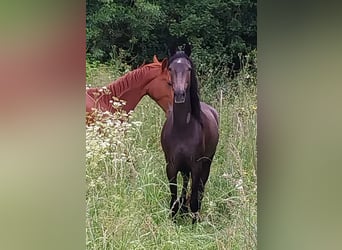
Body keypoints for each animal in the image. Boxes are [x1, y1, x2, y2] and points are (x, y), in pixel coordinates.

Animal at [161, 46, 219, 224]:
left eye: (188, 69)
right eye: (170, 68)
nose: (180, 94)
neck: (182, 129)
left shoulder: (196, 166)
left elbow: (194, 198)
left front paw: (194, 223)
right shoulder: (171, 166)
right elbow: (173, 198)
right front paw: (174, 219)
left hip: (206, 163)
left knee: (200, 189)